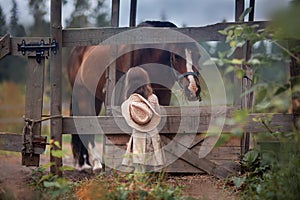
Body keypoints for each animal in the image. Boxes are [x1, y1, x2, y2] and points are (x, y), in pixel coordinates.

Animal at [68, 20, 203, 170]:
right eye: (177, 56)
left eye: (198, 56)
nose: (193, 89)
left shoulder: (162, 97)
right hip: (84, 97)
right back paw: (96, 163)